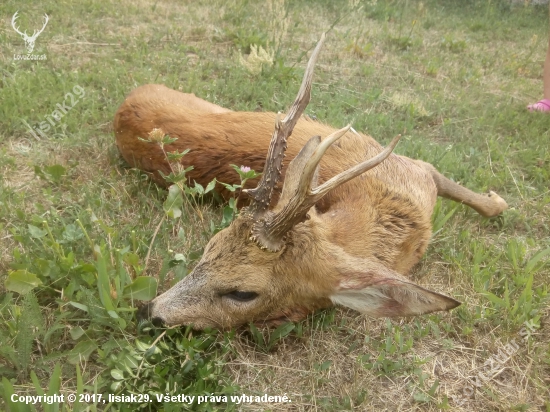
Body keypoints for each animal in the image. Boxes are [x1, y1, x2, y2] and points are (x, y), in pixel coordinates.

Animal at [114, 34, 512, 328]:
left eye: (242, 293)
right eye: (207, 250)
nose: (148, 312)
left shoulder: (418, 171)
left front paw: (497, 201)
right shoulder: (414, 167)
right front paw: (500, 200)